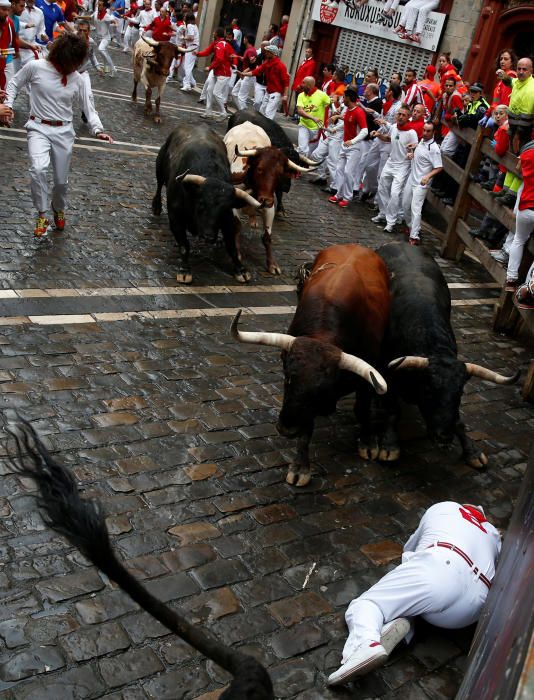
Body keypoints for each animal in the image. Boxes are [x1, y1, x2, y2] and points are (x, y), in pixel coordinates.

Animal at [232, 243, 392, 484]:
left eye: (321, 390)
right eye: (288, 377)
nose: (287, 429)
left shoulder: (367, 378)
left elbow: (363, 408)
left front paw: (368, 442)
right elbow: (306, 426)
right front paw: (300, 467)